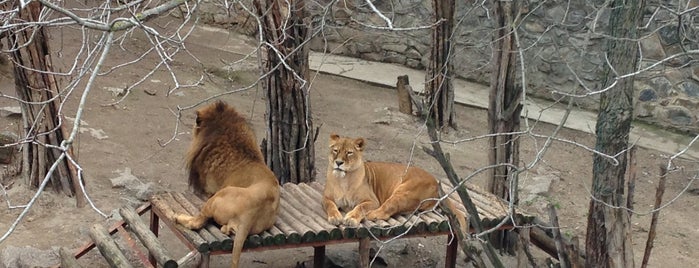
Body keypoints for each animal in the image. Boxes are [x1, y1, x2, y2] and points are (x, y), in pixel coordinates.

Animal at [322, 133, 464, 231]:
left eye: (349, 153)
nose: (338, 162)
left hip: (403, 192)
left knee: (386, 210)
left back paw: (370, 215)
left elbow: (361, 207)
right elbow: (330, 205)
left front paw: (351, 218)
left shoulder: (372, 201)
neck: (343, 180)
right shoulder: (326, 197)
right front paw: (335, 217)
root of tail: (435, 180)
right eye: (336, 150)